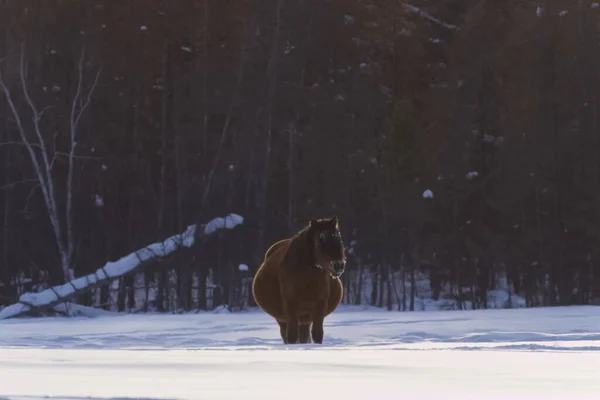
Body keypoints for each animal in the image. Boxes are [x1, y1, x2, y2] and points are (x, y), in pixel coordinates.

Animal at [252, 216, 346, 344]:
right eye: (320, 241)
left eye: (339, 238)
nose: (339, 265)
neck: (306, 280)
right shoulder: (290, 307)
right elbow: (292, 336)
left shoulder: (319, 307)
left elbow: (317, 334)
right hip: (283, 320)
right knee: (286, 335)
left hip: (304, 320)